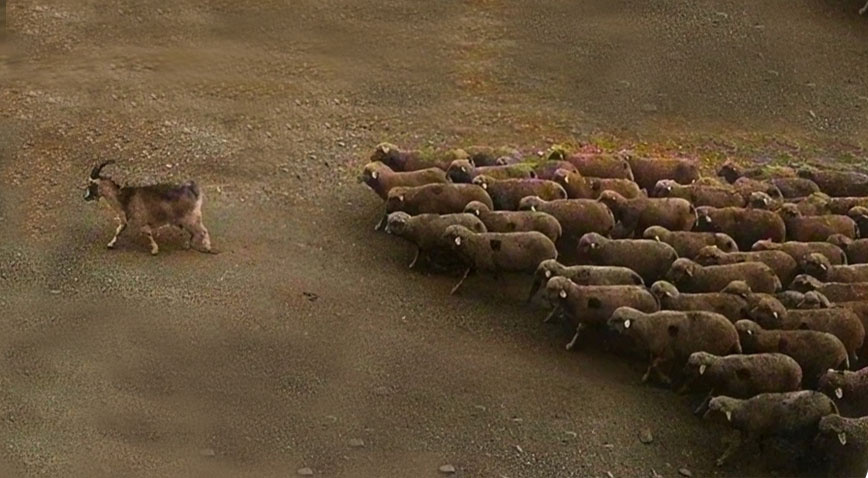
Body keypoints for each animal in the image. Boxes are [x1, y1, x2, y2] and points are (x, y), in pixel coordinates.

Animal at [83, 160, 212, 255]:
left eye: (91, 184)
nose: (85, 197)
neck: (125, 198)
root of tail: (193, 190)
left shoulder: (141, 220)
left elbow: (148, 234)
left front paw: (154, 250)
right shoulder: (125, 219)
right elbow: (119, 230)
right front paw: (110, 244)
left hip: (191, 218)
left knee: (203, 231)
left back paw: (207, 247)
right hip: (184, 220)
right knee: (194, 233)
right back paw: (188, 245)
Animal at [607, 307, 740, 385]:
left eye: (617, 319)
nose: (607, 323)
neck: (648, 326)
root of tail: (735, 334)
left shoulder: (668, 354)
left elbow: (654, 365)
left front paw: (664, 379)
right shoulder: (656, 351)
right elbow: (651, 363)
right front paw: (646, 377)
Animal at [703, 391, 838, 467]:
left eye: (715, 410)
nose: (703, 417)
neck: (743, 410)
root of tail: (829, 401)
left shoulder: (752, 433)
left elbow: (735, 446)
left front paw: (721, 460)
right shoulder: (757, 432)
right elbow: (760, 443)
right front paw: (759, 454)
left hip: (812, 430)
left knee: (813, 444)